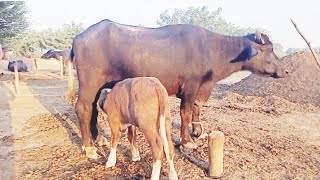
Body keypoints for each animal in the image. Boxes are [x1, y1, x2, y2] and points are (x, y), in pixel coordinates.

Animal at [67, 19, 288, 158]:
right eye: (269, 50)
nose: (285, 71)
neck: (213, 50)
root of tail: (78, 37)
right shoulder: (191, 85)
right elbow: (186, 112)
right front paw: (187, 141)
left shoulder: (201, 86)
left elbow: (198, 108)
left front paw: (198, 132)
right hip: (90, 82)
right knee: (83, 108)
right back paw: (89, 148)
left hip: (99, 85)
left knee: (93, 108)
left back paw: (99, 140)